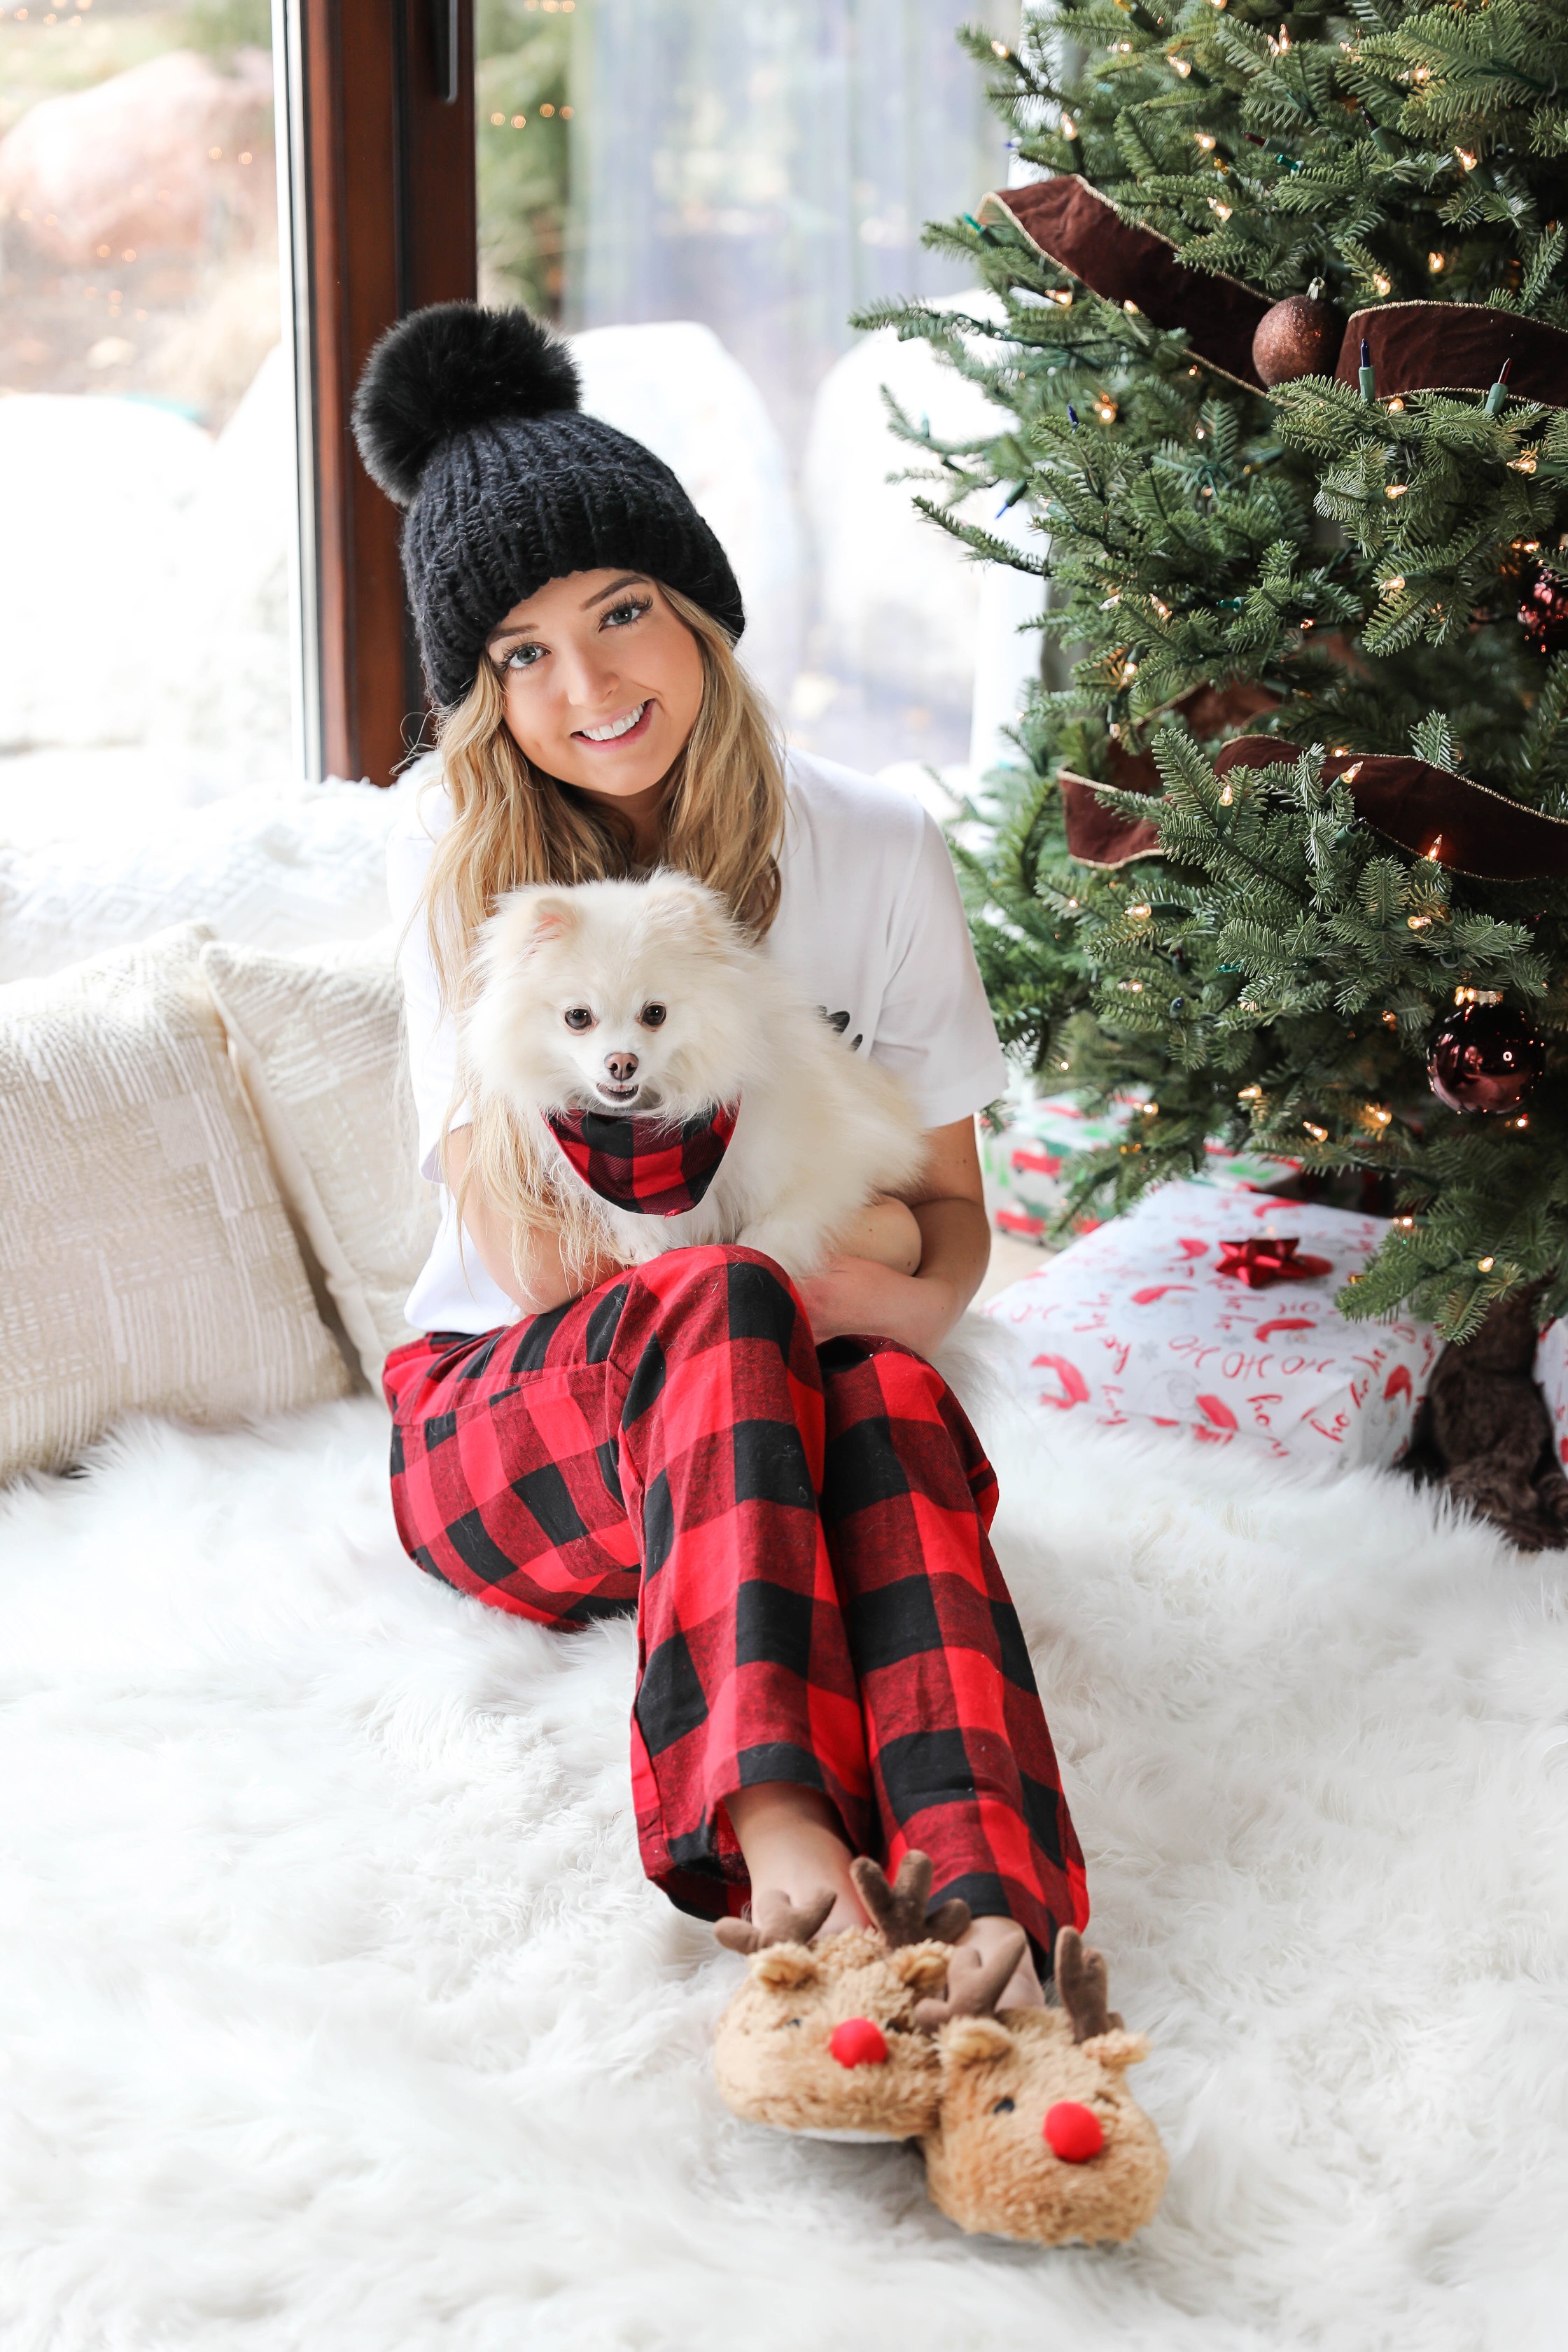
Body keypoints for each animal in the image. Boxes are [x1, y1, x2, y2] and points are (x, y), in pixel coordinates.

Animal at [454, 865, 926, 1279]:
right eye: (578, 1017)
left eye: (654, 1013)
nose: (622, 1063)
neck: (645, 1140)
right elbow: (632, 1224)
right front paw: (646, 1246)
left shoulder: (834, 1164)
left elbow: (774, 1230)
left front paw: (763, 1255)